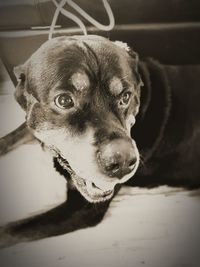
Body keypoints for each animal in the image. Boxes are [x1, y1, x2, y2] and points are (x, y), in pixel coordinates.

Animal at [0, 34, 200, 248]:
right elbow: (18, 131)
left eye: (125, 97)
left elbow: (9, 231)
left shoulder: (82, 209)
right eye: (64, 100)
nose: (122, 162)